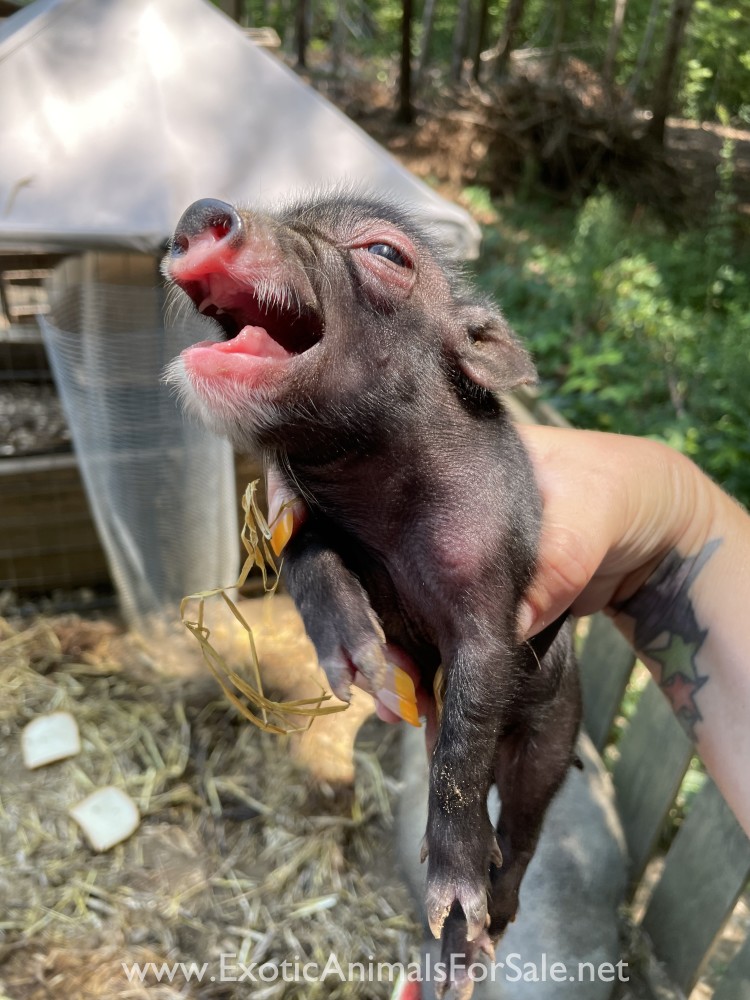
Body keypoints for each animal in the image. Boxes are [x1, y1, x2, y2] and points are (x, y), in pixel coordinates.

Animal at [163, 192, 581, 999]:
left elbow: (466, 727)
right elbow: (305, 559)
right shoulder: (303, 514)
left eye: (385, 253)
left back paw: (478, 937)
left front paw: (453, 896)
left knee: (522, 828)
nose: (202, 208)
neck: (383, 503)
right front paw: (362, 666)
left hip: (556, 729)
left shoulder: (493, 596)